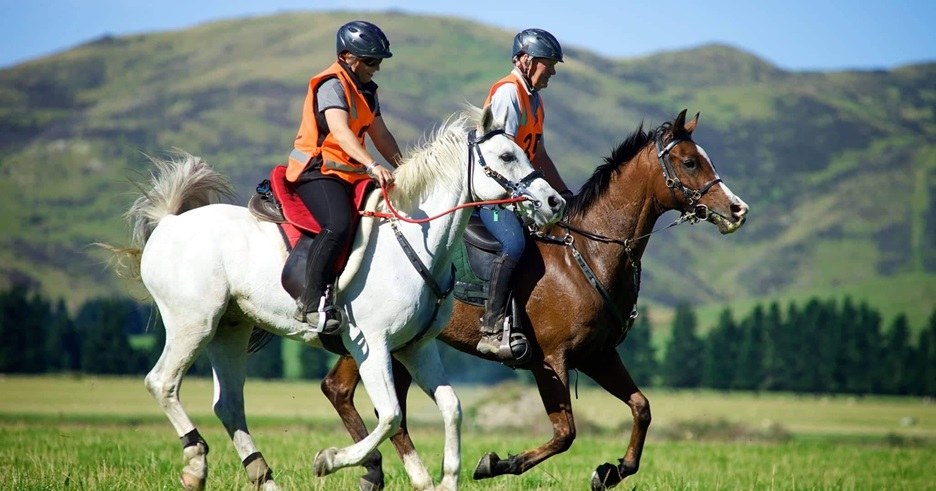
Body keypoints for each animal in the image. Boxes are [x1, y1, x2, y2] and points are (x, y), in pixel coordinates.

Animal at [117, 107, 568, 491]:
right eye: (507, 156)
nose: (555, 202)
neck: (417, 239)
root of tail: (169, 223)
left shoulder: (416, 348)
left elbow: (451, 407)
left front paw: (446, 479)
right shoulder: (373, 345)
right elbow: (390, 416)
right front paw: (330, 460)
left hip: (230, 328)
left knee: (228, 405)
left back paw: (264, 477)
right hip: (194, 323)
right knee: (162, 383)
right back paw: (195, 464)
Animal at [318, 109, 748, 490]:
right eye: (690, 162)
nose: (737, 209)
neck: (587, 254)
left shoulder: (598, 356)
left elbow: (641, 408)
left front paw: (611, 471)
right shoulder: (550, 361)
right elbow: (565, 433)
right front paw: (495, 463)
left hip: (403, 347)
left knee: (364, 399)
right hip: (378, 343)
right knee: (343, 391)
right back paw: (371, 468)